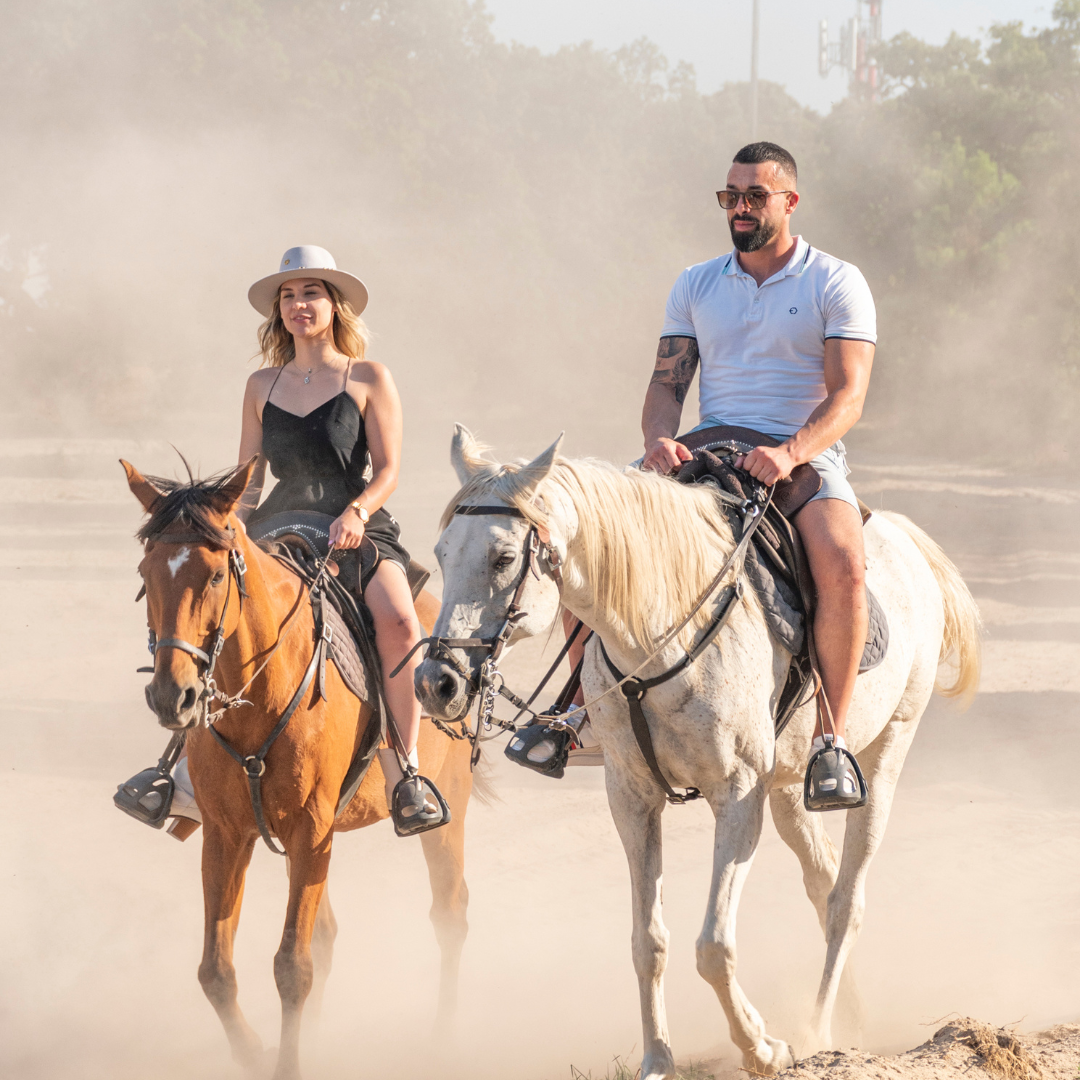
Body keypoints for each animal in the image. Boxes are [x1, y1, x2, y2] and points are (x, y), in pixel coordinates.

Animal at [122, 460, 473, 1080]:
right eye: (146, 571)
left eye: (217, 575)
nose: (172, 697)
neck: (259, 694)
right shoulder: (226, 834)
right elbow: (215, 970)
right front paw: (255, 1052)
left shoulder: (311, 833)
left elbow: (292, 967)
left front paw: (287, 1062)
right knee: (328, 935)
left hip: (444, 805)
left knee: (450, 913)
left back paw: (442, 1040)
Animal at [414, 425, 989, 1075]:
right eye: (442, 554)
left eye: (503, 558)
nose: (437, 682)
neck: (661, 637)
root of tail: (902, 535)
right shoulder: (632, 798)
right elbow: (648, 942)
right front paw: (658, 1057)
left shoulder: (737, 796)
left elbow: (713, 946)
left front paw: (763, 1046)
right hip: (786, 790)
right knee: (823, 884)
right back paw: (849, 1020)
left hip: (885, 755)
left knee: (848, 899)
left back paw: (817, 1028)